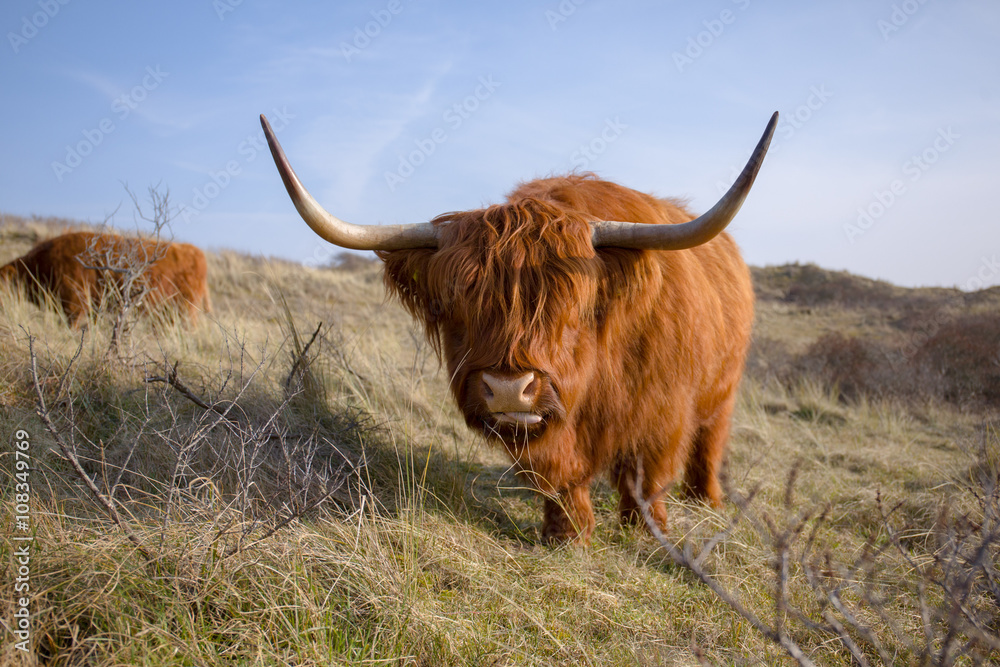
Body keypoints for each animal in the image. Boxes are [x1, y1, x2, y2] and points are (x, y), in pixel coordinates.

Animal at [262, 113, 776, 544]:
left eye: (572, 306)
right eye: (457, 305)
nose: (509, 389)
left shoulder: (663, 413)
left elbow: (647, 479)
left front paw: (649, 534)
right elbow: (558, 479)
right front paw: (566, 536)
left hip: (722, 389)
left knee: (709, 444)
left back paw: (706, 500)